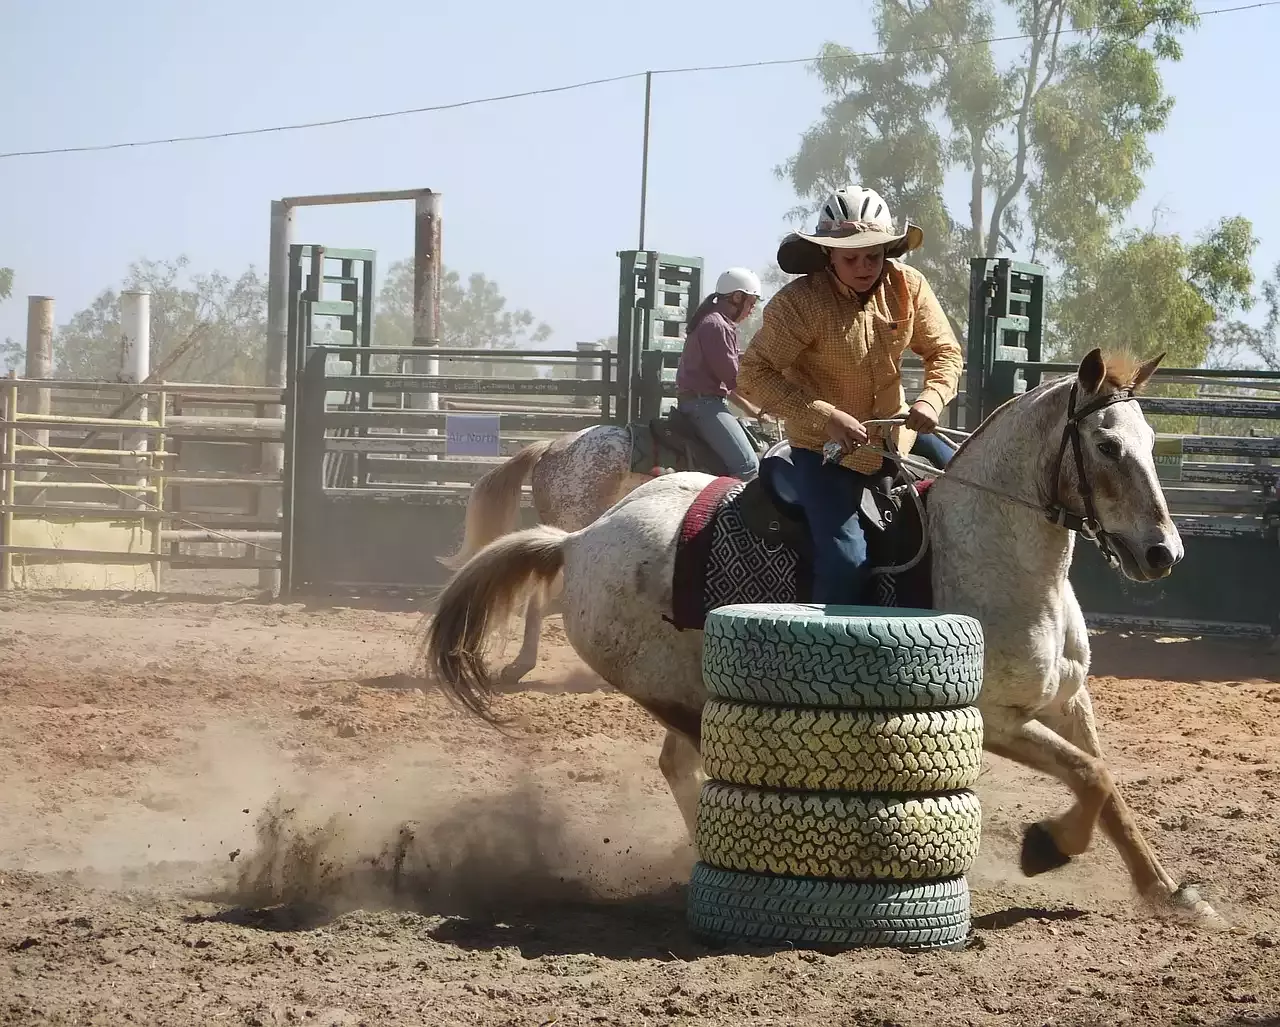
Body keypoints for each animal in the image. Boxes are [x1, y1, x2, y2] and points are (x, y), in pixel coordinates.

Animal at [419, 348, 1218, 921]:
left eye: (1152, 440)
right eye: (1107, 446)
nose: (1163, 553)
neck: (994, 550)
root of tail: (579, 541)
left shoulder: (1070, 701)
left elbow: (1107, 786)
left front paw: (1167, 892)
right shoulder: (995, 719)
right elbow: (1091, 777)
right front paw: (1048, 846)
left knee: (677, 765)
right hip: (675, 691)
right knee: (699, 770)